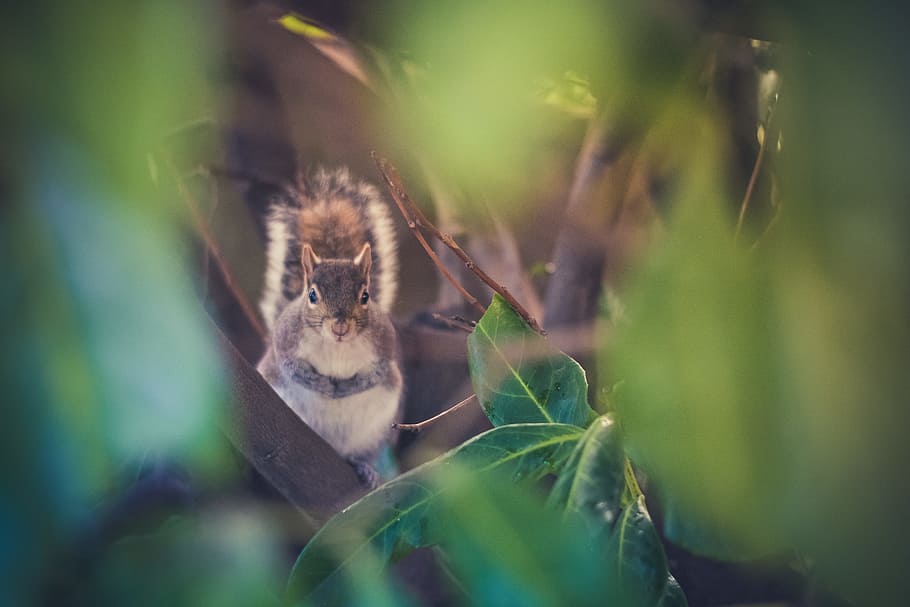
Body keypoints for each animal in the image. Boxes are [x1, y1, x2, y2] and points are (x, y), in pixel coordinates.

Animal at [255, 166, 402, 488]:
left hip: (373, 433)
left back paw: (365, 468)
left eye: (365, 296)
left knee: (359, 453)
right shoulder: (285, 343)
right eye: (312, 295)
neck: (336, 346)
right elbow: (291, 369)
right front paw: (321, 384)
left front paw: (346, 388)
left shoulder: (385, 346)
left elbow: (376, 374)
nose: (340, 327)